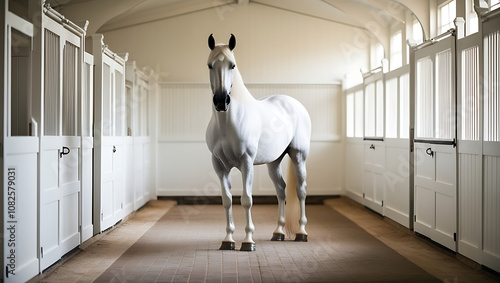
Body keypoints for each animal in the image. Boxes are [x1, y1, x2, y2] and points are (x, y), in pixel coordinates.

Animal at [205, 33, 310, 253]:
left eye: (232, 65)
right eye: (210, 65)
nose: (221, 101)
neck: (228, 123)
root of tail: (293, 103)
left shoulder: (246, 162)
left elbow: (246, 199)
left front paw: (248, 241)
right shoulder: (219, 166)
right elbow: (227, 200)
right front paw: (228, 240)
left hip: (298, 156)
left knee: (301, 190)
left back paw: (301, 233)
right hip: (274, 162)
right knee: (281, 190)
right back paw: (278, 232)